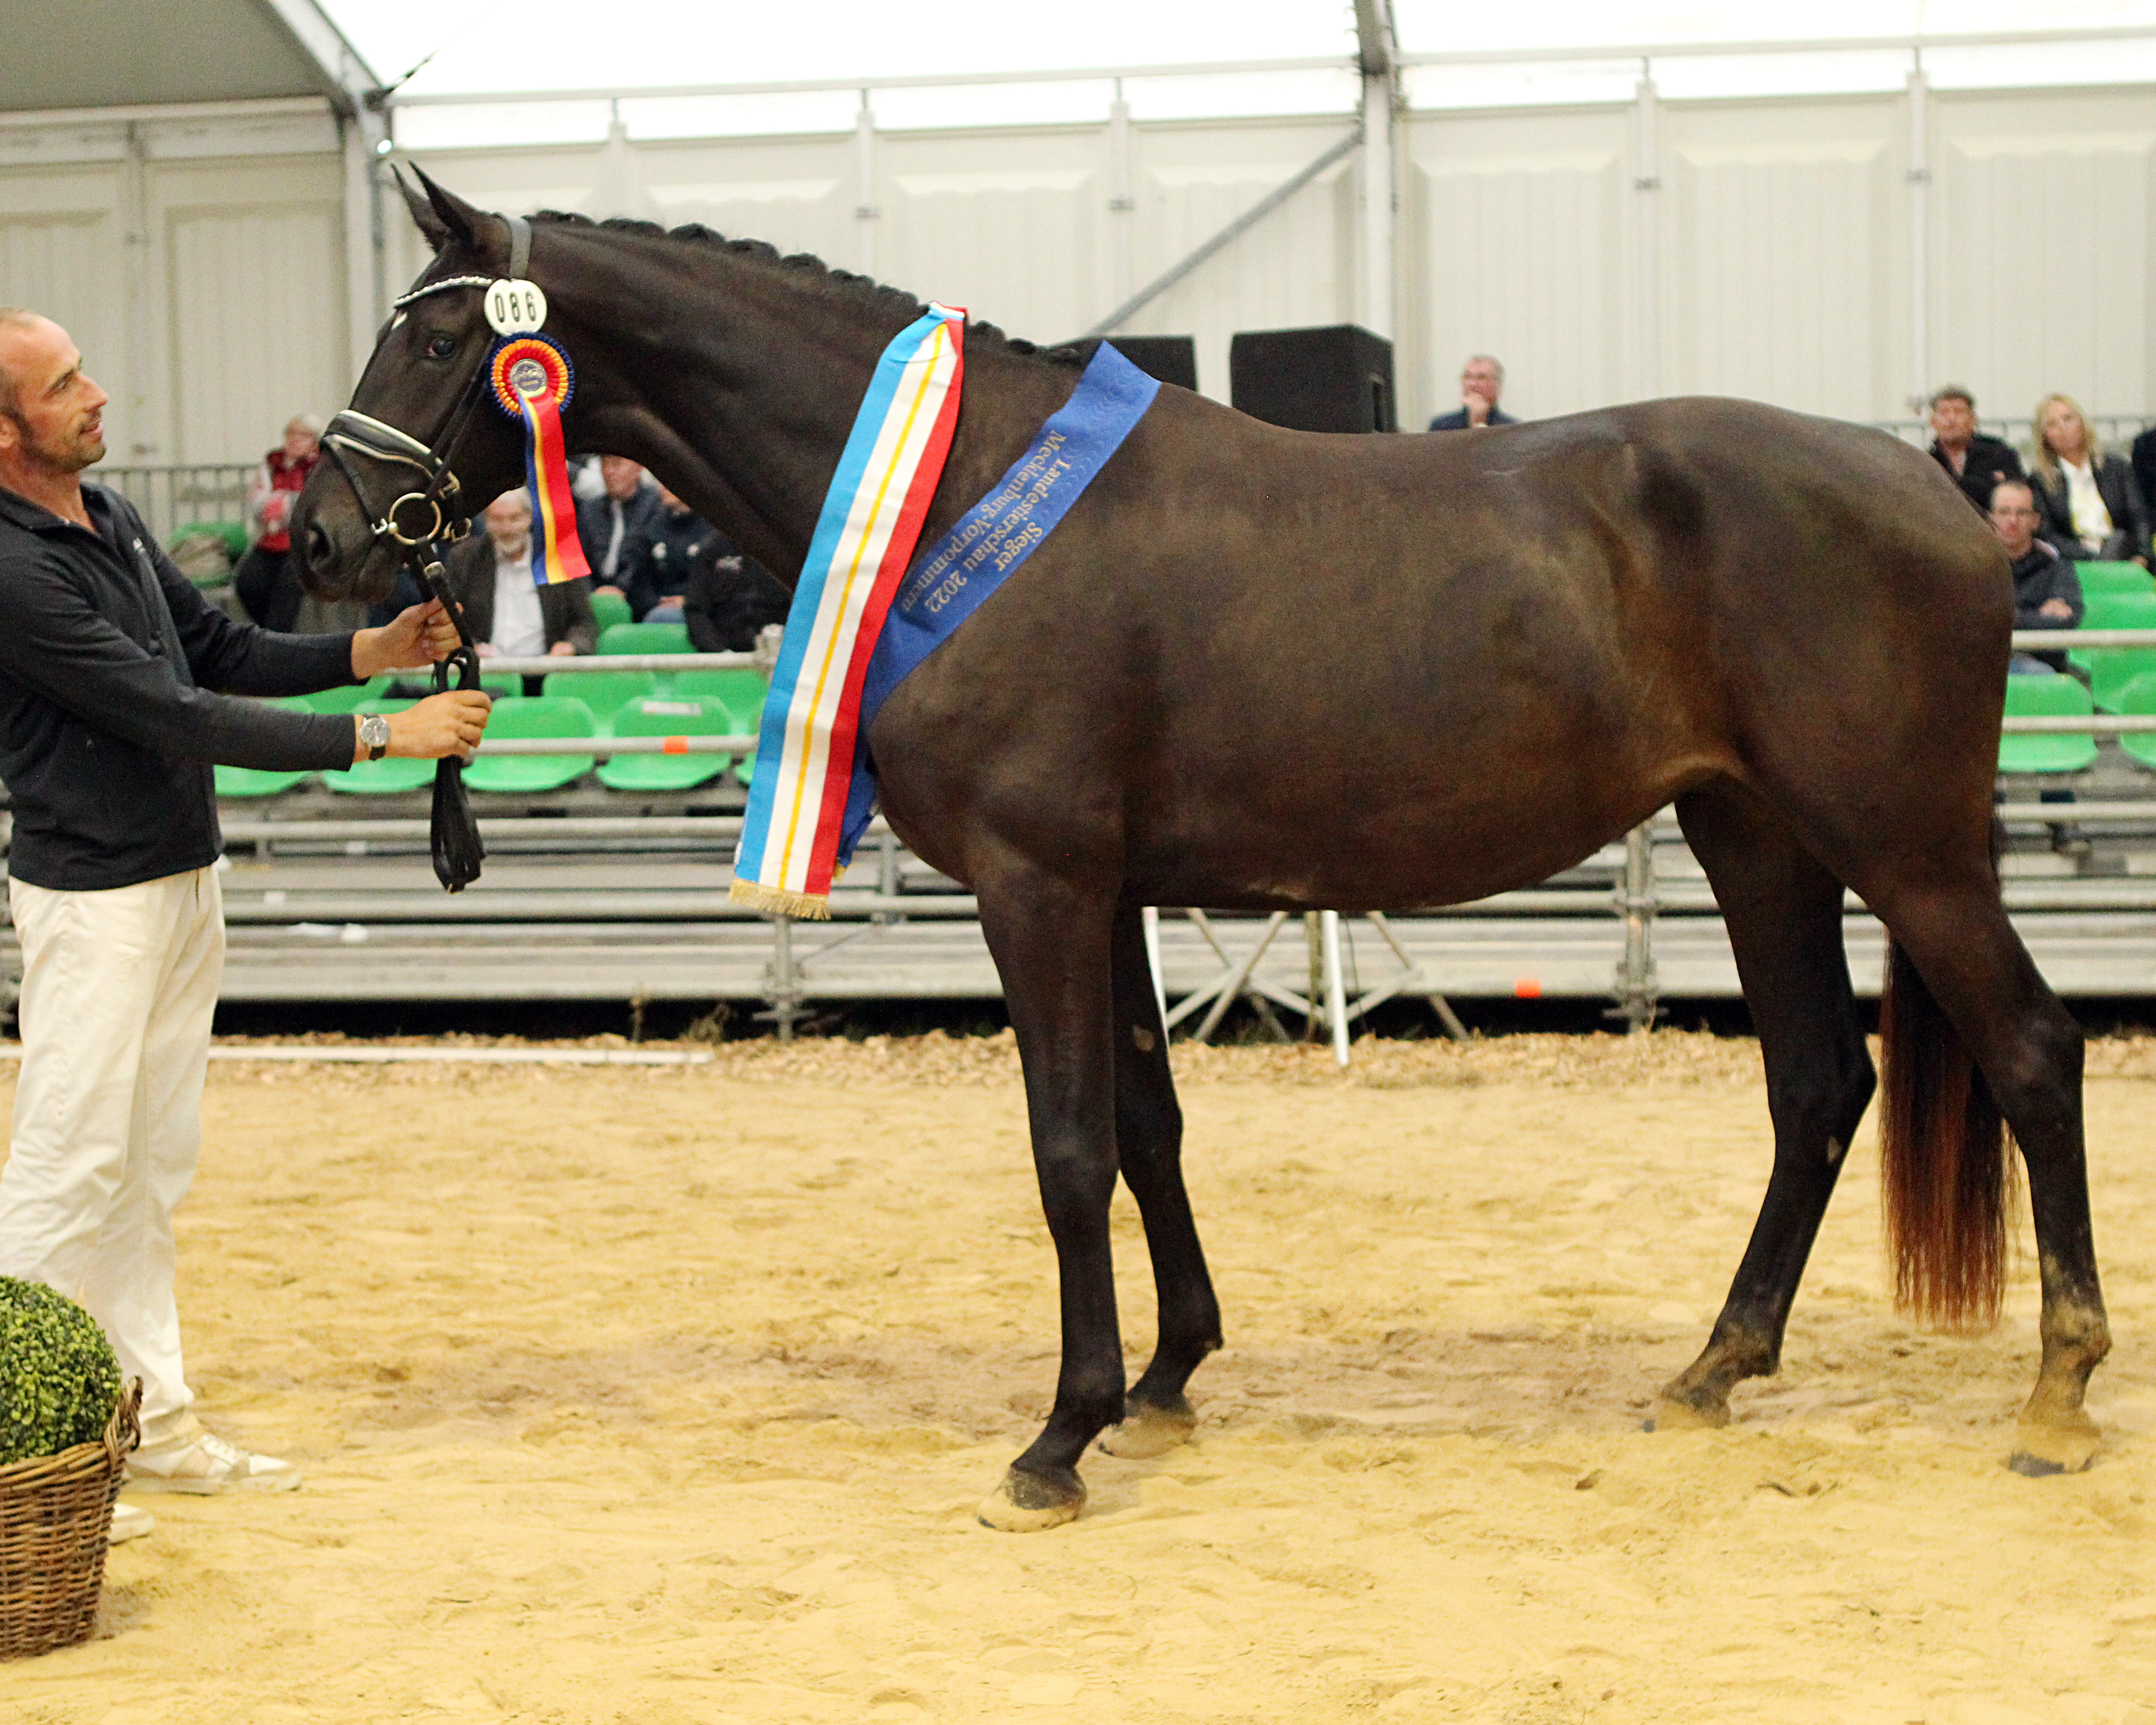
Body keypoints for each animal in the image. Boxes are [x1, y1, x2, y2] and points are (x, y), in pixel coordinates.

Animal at [295, 171, 2113, 1526]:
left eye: (444, 335)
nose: (315, 540)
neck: (963, 489)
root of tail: (1933, 494)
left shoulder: (1033, 885)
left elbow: (1066, 1149)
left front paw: (1056, 1438)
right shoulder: (1105, 891)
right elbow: (1148, 1130)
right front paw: (1165, 1382)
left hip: (1904, 844)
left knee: (2028, 1051)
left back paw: (2055, 1392)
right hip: (1755, 837)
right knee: (1813, 1085)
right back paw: (1713, 1369)